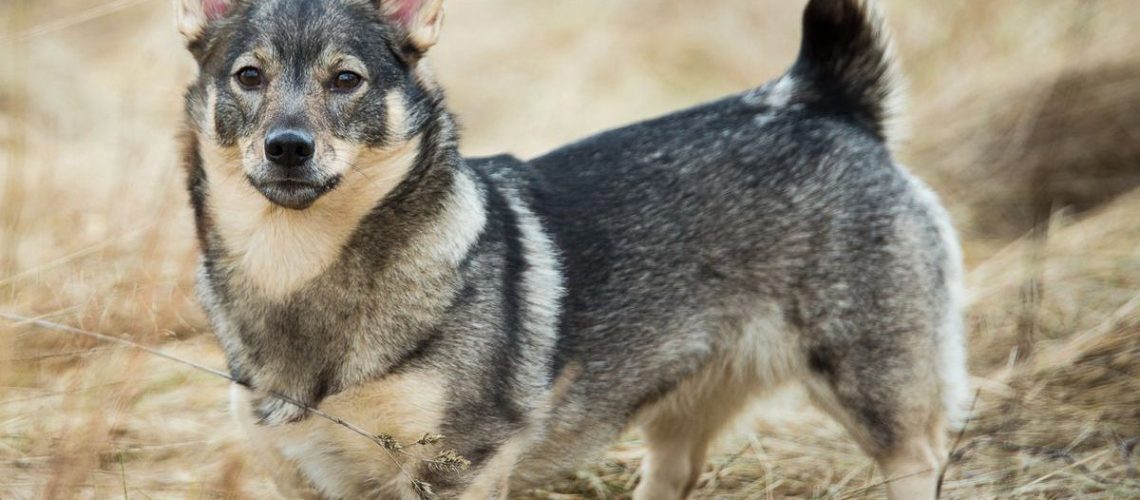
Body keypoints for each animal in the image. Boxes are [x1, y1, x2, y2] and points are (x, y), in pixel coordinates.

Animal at [177, 0, 971, 498]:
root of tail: (820, 100)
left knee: (920, 458)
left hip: (879, 395)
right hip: (682, 415)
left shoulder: (458, 469)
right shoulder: (301, 474)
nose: (287, 148)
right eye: (249, 77)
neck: (299, 272)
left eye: (346, 80)